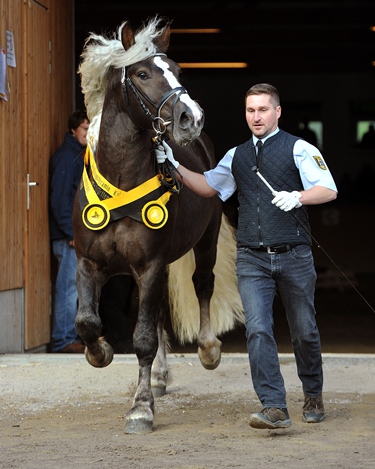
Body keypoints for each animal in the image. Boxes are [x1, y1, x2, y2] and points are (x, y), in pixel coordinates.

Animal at [73, 15, 244, 432]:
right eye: (142, 73)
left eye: (178, 70)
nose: (190, 118)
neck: (120, 180)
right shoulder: (89, 262)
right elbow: (87, 322)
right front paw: (100, 352)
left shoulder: (149, 265)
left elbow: (144, 339)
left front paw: (141, 408)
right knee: (161, 309)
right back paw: (161, 377)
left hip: (205, 242)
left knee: (202, 285)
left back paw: (207, 350)